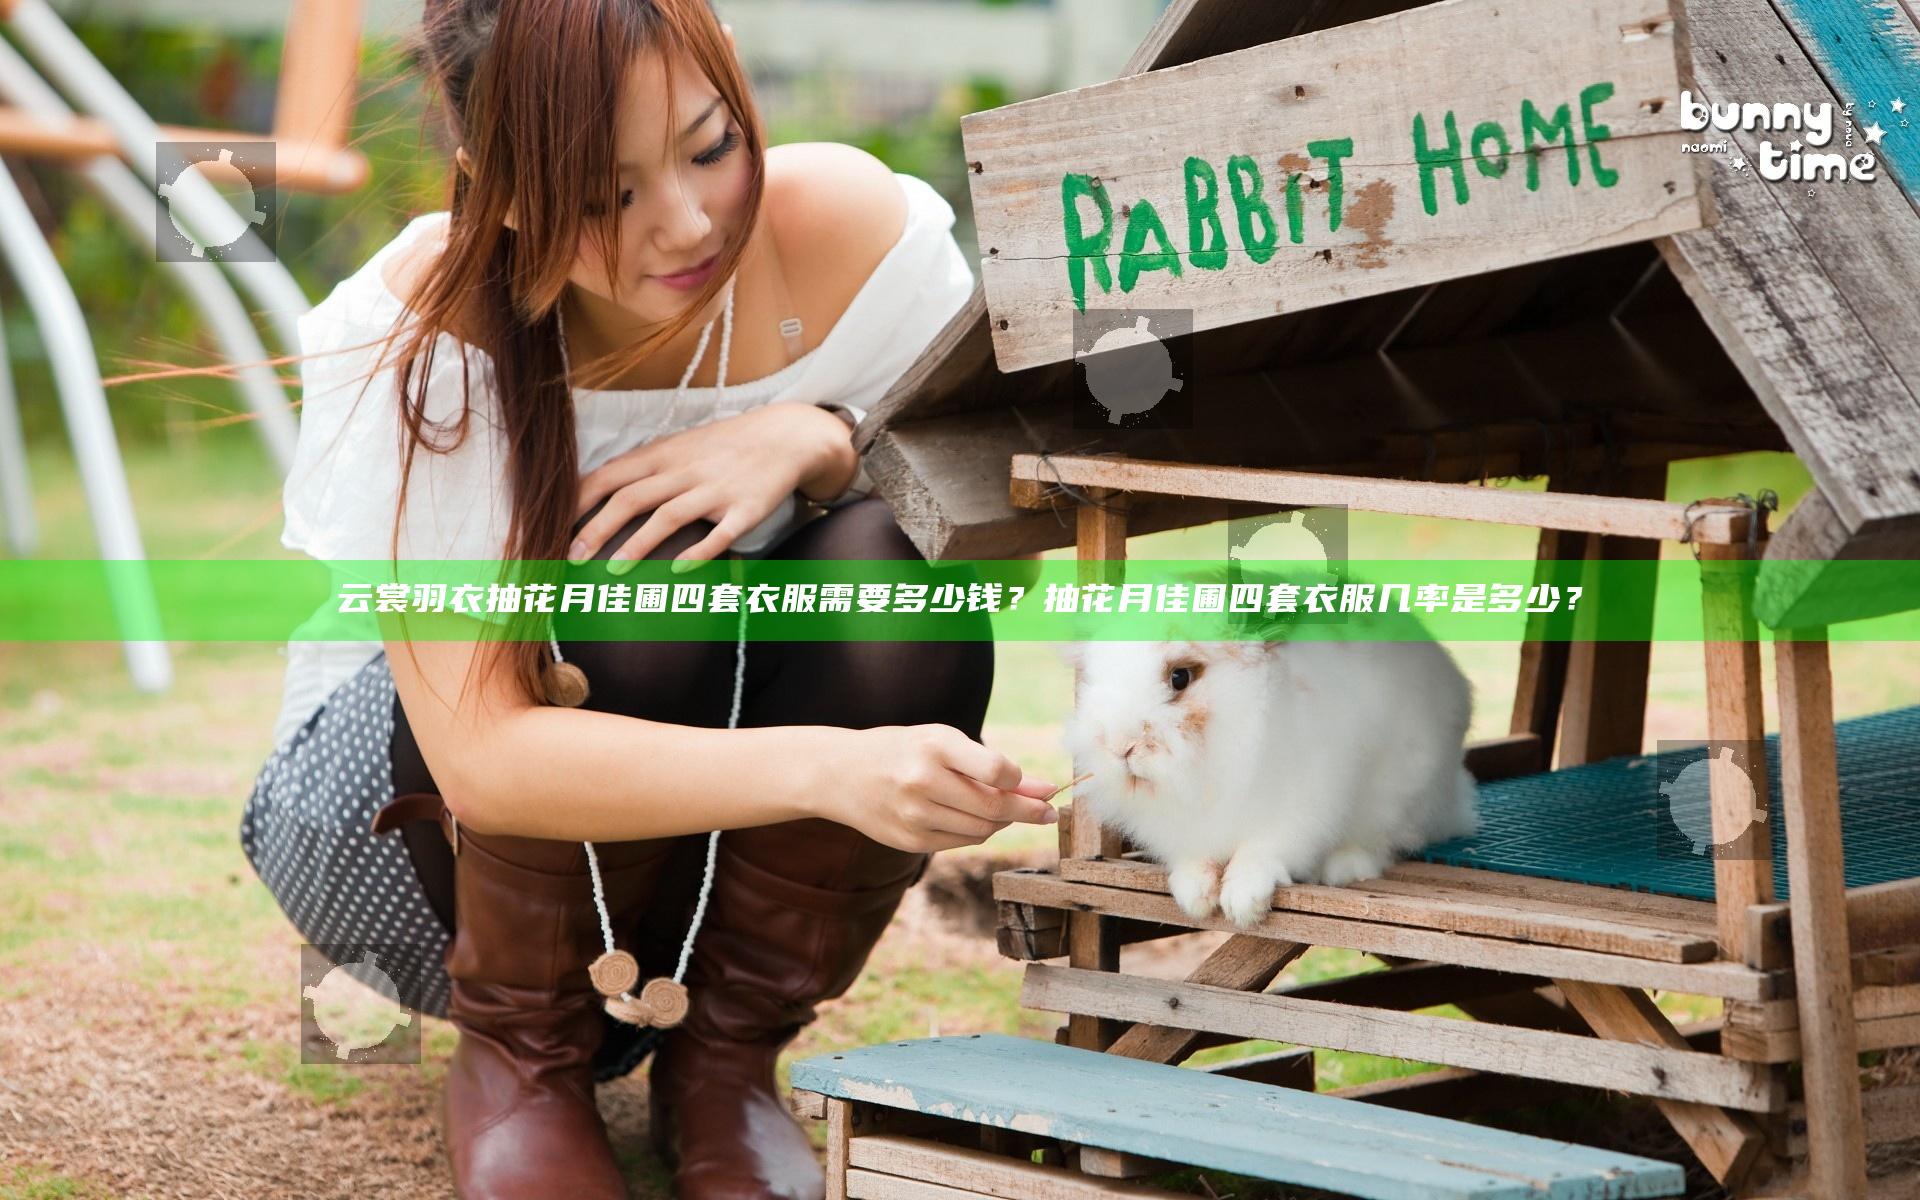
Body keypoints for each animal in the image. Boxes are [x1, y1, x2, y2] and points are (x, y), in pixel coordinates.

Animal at [1059, 579, 1474, 925]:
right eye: (1095, 680)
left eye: (1180, 677)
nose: (1120, 747)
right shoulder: (1189, 825)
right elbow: (1197, 857)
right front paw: (1195, 897)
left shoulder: (1300, 807)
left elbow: (1261, 851)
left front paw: (1243, 903)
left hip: (1399, 793)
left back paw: (1345, 868)